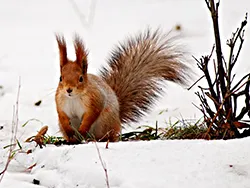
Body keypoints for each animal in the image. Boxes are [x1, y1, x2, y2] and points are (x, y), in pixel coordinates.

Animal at [55, 29, 189, 144]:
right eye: (60, 78)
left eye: (81, 78)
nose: (68, 90)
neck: (73, 98)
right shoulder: (60, 103)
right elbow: (62, 117)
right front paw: (69, 131)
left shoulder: (95, 99)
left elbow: (92, 115)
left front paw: (83, 129)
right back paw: (72, 140)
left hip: (105, 123)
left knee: (107, 137)